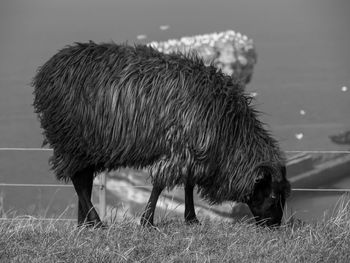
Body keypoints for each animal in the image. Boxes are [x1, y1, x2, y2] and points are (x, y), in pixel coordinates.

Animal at [32, 42, 290, 228]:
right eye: (273, 195)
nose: (275, 226)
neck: (230, 133)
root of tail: (46, 71)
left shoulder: (193, 149)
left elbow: (188, 184)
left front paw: (191, 219)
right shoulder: (180, 148)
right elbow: (159, 184)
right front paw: (147, 222)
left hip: (86, 146)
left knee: (83, 181)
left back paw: (84, 223)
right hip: (71, 140)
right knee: (78, 181)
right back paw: (96, 223)